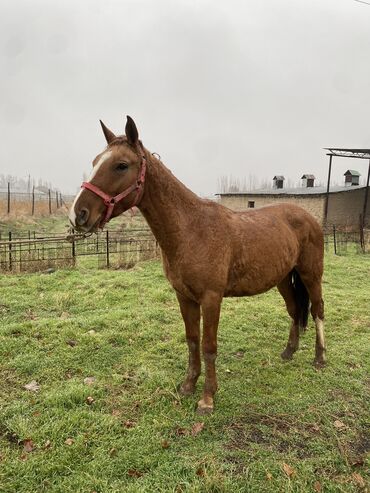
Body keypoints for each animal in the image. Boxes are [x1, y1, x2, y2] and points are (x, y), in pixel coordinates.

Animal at [68, 117, 326, 414]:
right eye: (95, 161)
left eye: (121, 165)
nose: (78, 214)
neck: (191, 229)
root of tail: (308, 217)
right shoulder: (185, 297)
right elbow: (192, 341)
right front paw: (188, 385)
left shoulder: (211, 299)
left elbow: (208, 346)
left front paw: (207, 398)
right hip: (283, 278)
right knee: (294, 310)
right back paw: (289, 351)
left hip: (311, 274)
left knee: (317, 309)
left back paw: (320, 358)